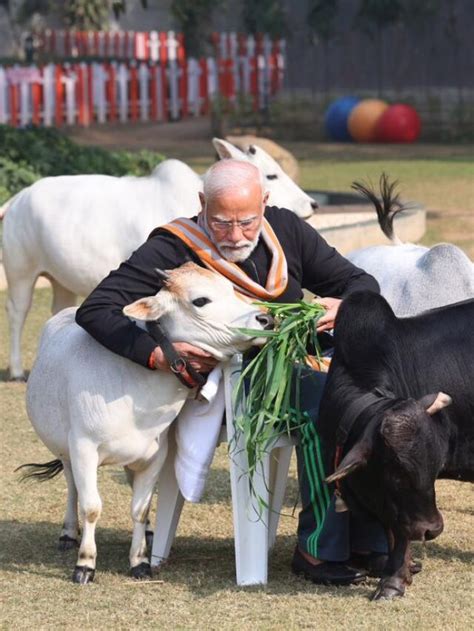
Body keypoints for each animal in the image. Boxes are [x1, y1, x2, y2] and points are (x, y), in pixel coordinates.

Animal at [1, 137, 316, 380]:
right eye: (271, 174)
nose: (312, 203)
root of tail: (18, 198)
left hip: (60, 281)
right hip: (21, 272)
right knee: (17, 313)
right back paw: (16, 370)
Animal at [19, 262, 270, 584]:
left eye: (231, 288)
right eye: (201, 300)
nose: (264, 318)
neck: (133, 389)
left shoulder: (154, 456)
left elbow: (139, 509)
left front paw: (139, 561)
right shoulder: (83, 449)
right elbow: (91, 507)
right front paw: (85, 564)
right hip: (65, 451)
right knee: (73, 486)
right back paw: (68, 533)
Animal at [320, 294, 472, 600]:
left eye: (435, 467)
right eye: (397, 473)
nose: (432, 530)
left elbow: (401, 533)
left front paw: (392, 582)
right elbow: (393, 528)